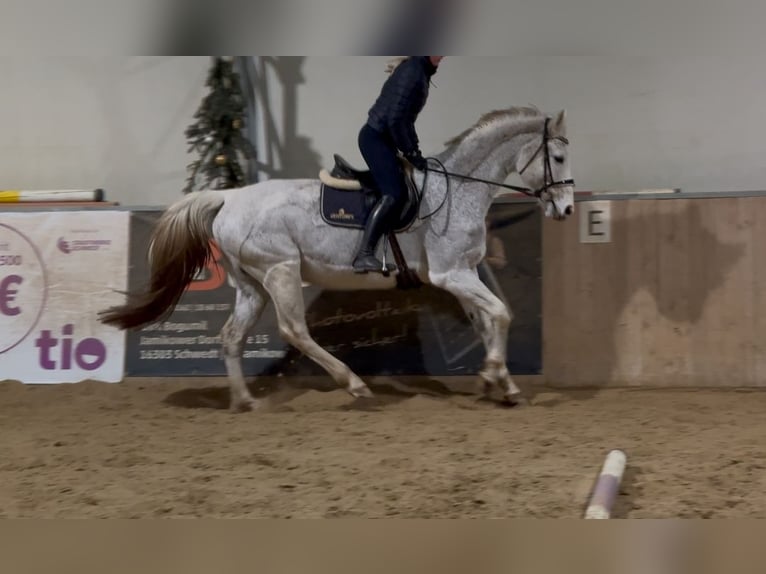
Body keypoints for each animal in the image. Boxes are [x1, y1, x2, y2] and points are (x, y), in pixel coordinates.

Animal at [99, 105, 575, 412]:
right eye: (558, 157)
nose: (567, 210)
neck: (456, 190)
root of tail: (228, 197)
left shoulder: (464, 274)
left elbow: (489, 320)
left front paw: (502, 384)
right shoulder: (451, 274)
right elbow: (501, 314)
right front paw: (494, 373)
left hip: (251, 285)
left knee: (232, 337)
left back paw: (245, 401)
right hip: (281, 271)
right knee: (294, 330)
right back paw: (354, 384)